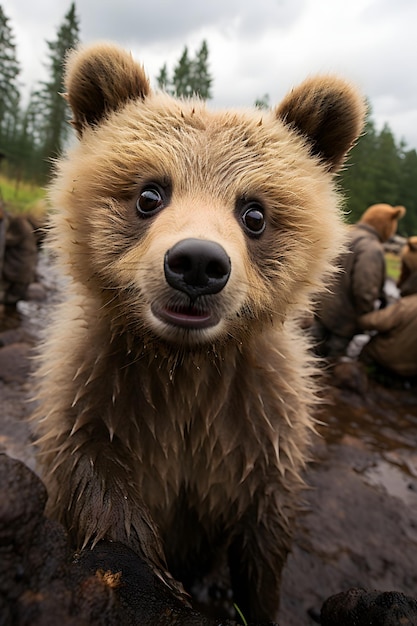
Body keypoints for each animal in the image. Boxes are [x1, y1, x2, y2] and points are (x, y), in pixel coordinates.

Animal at [33, 41, 364, 620]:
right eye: (150, 194)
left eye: (254, 213)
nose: (197, 264)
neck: (183, 366)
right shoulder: (93, 394)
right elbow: (98, 492)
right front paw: (154, 579)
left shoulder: (260, 422)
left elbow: (263, 540)